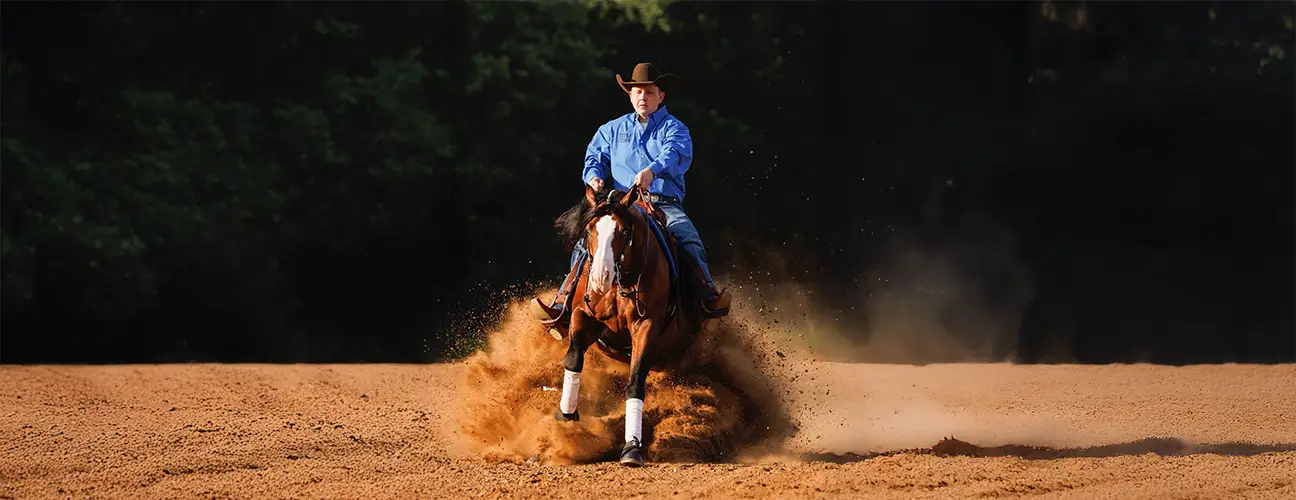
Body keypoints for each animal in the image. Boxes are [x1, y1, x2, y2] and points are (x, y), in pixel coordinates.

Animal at [548, 182, 710, 467]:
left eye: (624, 231)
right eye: (589, 230)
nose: (600, 278)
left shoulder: (646, 327)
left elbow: (635, 382)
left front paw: (632, 446)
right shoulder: (584, 314)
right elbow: (574, 358)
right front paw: (566, 417)